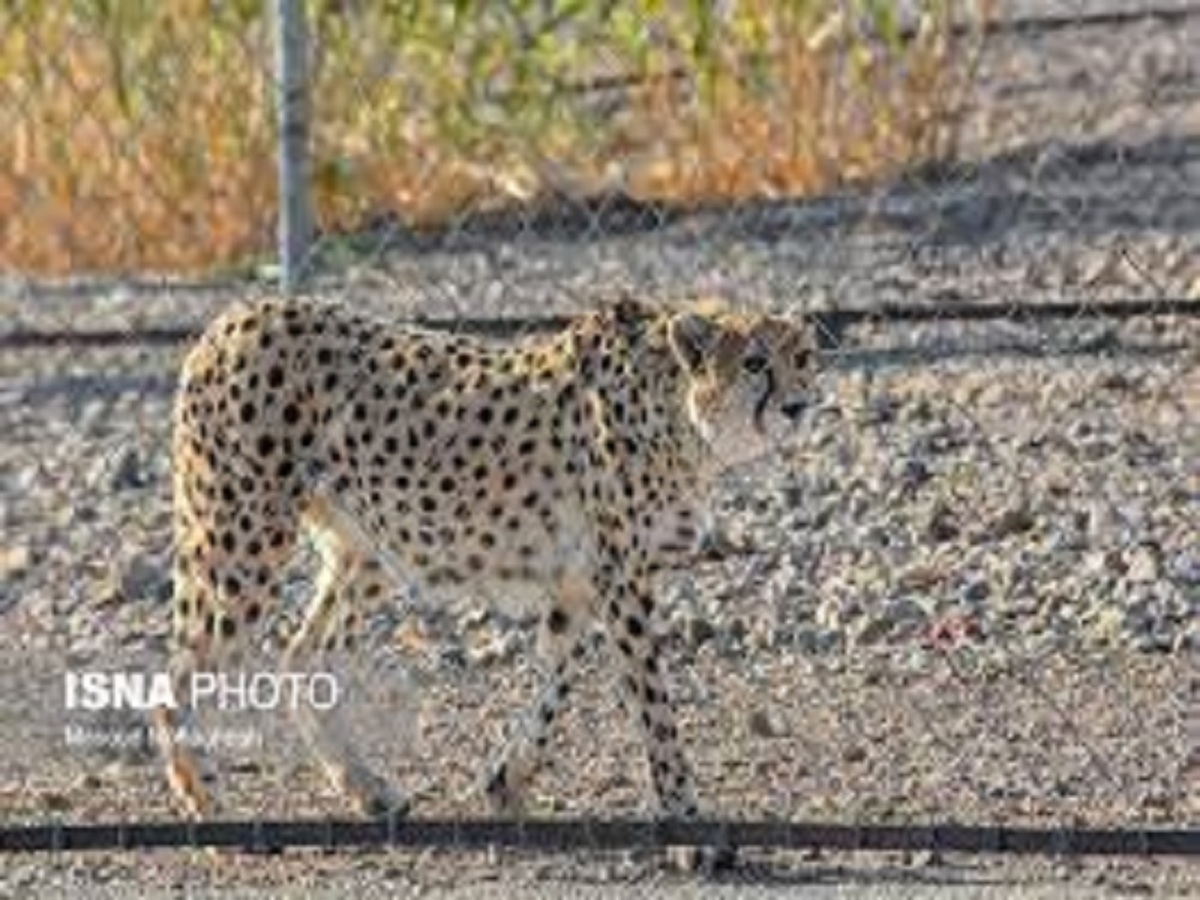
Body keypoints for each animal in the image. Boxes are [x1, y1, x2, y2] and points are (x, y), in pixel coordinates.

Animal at [157, 297, 816, 825]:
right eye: (754, 364)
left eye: (805, 357)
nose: (799, 407)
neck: (681, 413)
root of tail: (233, 317)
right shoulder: (622, 580)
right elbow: (652, 702)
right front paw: (686, 817)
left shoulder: (579, 583)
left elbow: (556, 684)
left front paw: (507, 783)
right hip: (242, 537)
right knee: (182, 676)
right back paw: (209, 809)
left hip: (365, 548)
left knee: (303, 655)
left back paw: (368, 790)